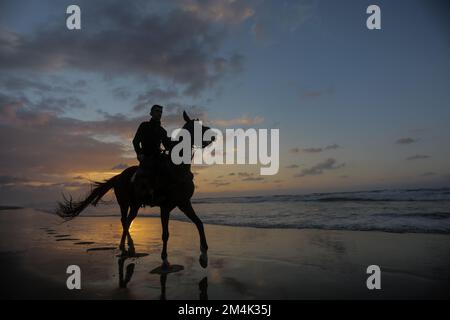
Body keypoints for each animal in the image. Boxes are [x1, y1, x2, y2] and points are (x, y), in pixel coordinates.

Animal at [55, 110, 214, 270]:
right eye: (196, 126)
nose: (213, 136)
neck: (176, 169)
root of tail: (118, 176)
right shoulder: (165, 207)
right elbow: (165, 234)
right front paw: (164, 260)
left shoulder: (184, 203)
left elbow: (199, 223)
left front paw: (204, 256)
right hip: (124, 203)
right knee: (124, 220)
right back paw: (127, 246)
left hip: (135, 205)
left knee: (128, 220)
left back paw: (126, 245)